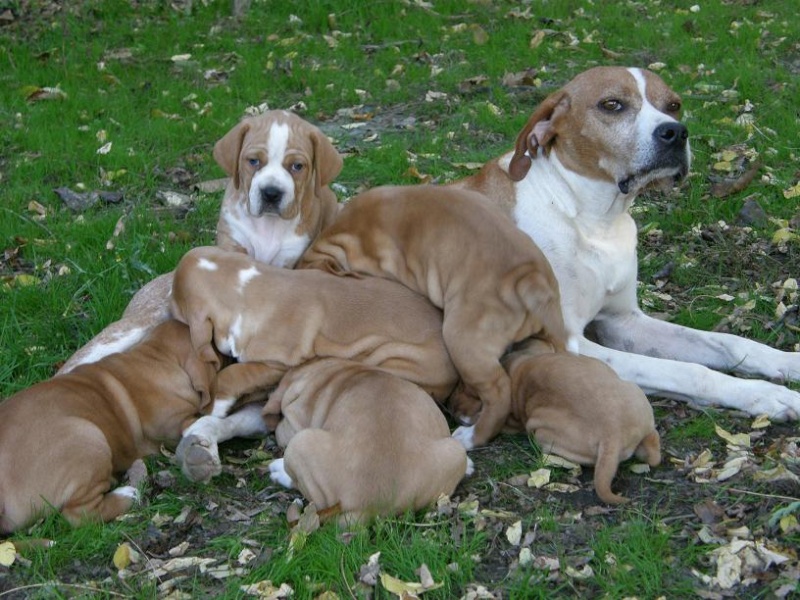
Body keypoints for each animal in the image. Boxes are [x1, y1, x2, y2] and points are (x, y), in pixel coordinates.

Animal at [57, 110, 340, 376]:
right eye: (253, 161)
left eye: (298, 166)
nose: (271, 193)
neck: (268, 226)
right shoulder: (230, 245)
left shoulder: (288, 260)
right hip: (124, 331)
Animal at [266, 356, 472, 524]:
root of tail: (367, 506)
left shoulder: (295, 419)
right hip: (454, 451)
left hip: (299, 443)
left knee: (306, 493)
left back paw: (279, 471)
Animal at [298, 185, 568, 448]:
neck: (341, 235)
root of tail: (527, 275)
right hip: (540, 338)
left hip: (462, 340)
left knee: (499, 390)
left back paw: (472, 436)